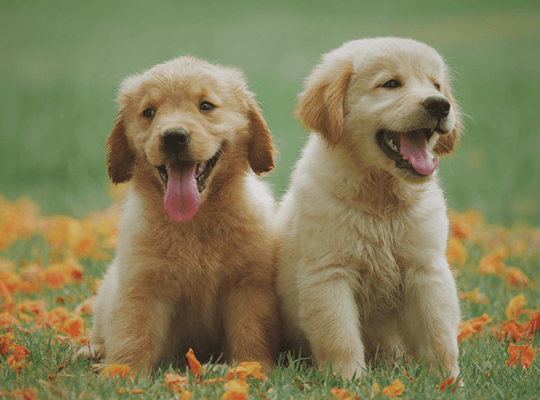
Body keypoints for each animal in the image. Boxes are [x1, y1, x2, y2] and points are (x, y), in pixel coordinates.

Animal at [78, 56, 280, 376]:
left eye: (206, 106)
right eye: (149, 112)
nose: (174, 137)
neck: (195, 223)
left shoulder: (248, 285)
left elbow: (251, 330)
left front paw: (250, 366)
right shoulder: (141, 285)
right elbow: (133, 332)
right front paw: (123, 372)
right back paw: (91, 352)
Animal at [278, 36, 460, 378]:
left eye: (437, 85)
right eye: (390, 84)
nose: (440, 105)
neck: (381, 200)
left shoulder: (426, 269)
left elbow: (439, 332)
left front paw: (447, 379)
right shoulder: (329, 273)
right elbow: (339, 335)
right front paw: (348, 380)